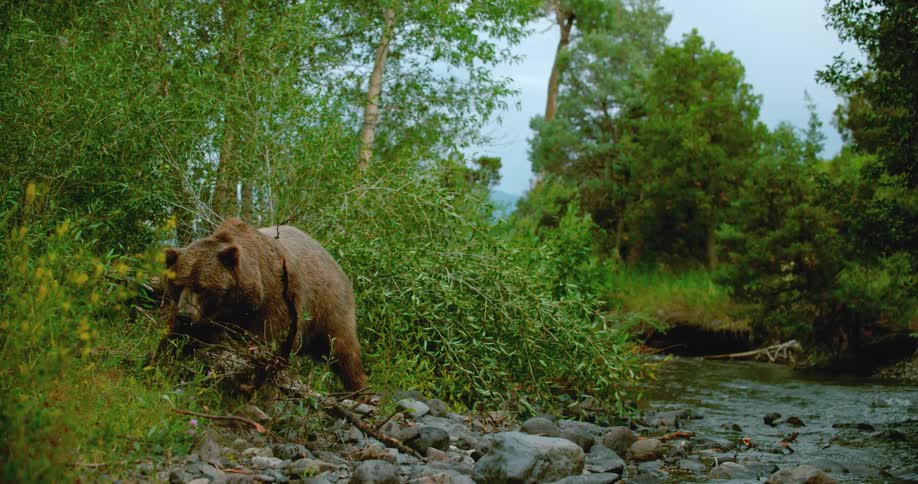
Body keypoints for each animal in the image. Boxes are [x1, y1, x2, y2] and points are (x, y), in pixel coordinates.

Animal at [161, 217, 366, 390]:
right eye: (177, 285)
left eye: (201, 287)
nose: (185, 315)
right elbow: (174, 339)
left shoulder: (276, 297)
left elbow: (272, 338)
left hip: (328, 304)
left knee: (342, 348)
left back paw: (357, 388)